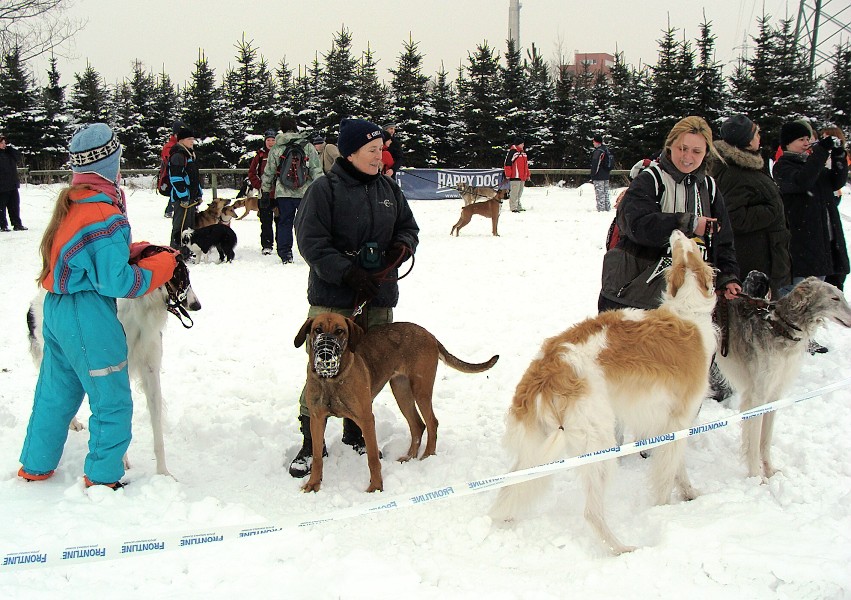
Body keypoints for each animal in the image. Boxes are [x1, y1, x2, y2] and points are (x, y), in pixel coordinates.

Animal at [298, 314, 502, 492]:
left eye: (340, 331)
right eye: (317, 329)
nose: (325, 352)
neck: (331, 379)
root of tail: (430, 335)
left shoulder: (366, 419)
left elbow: (373, 458)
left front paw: (376, 487)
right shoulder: (317, 419)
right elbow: (317, 456)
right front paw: (313, 484)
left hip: (420, 388)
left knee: (432, 422)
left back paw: (427, 456)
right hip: (401, 390)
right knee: (418, 425)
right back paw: (409, 456)